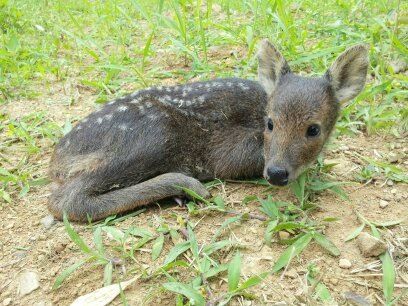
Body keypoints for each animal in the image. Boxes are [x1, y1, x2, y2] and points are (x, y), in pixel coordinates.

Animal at [47, 40, 370, 222]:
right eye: (270, 123)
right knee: (67, 200)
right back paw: (186, 186)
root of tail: (57, 159)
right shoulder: (228, 155)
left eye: (313, 129)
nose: (277, 173)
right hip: (151, 135)